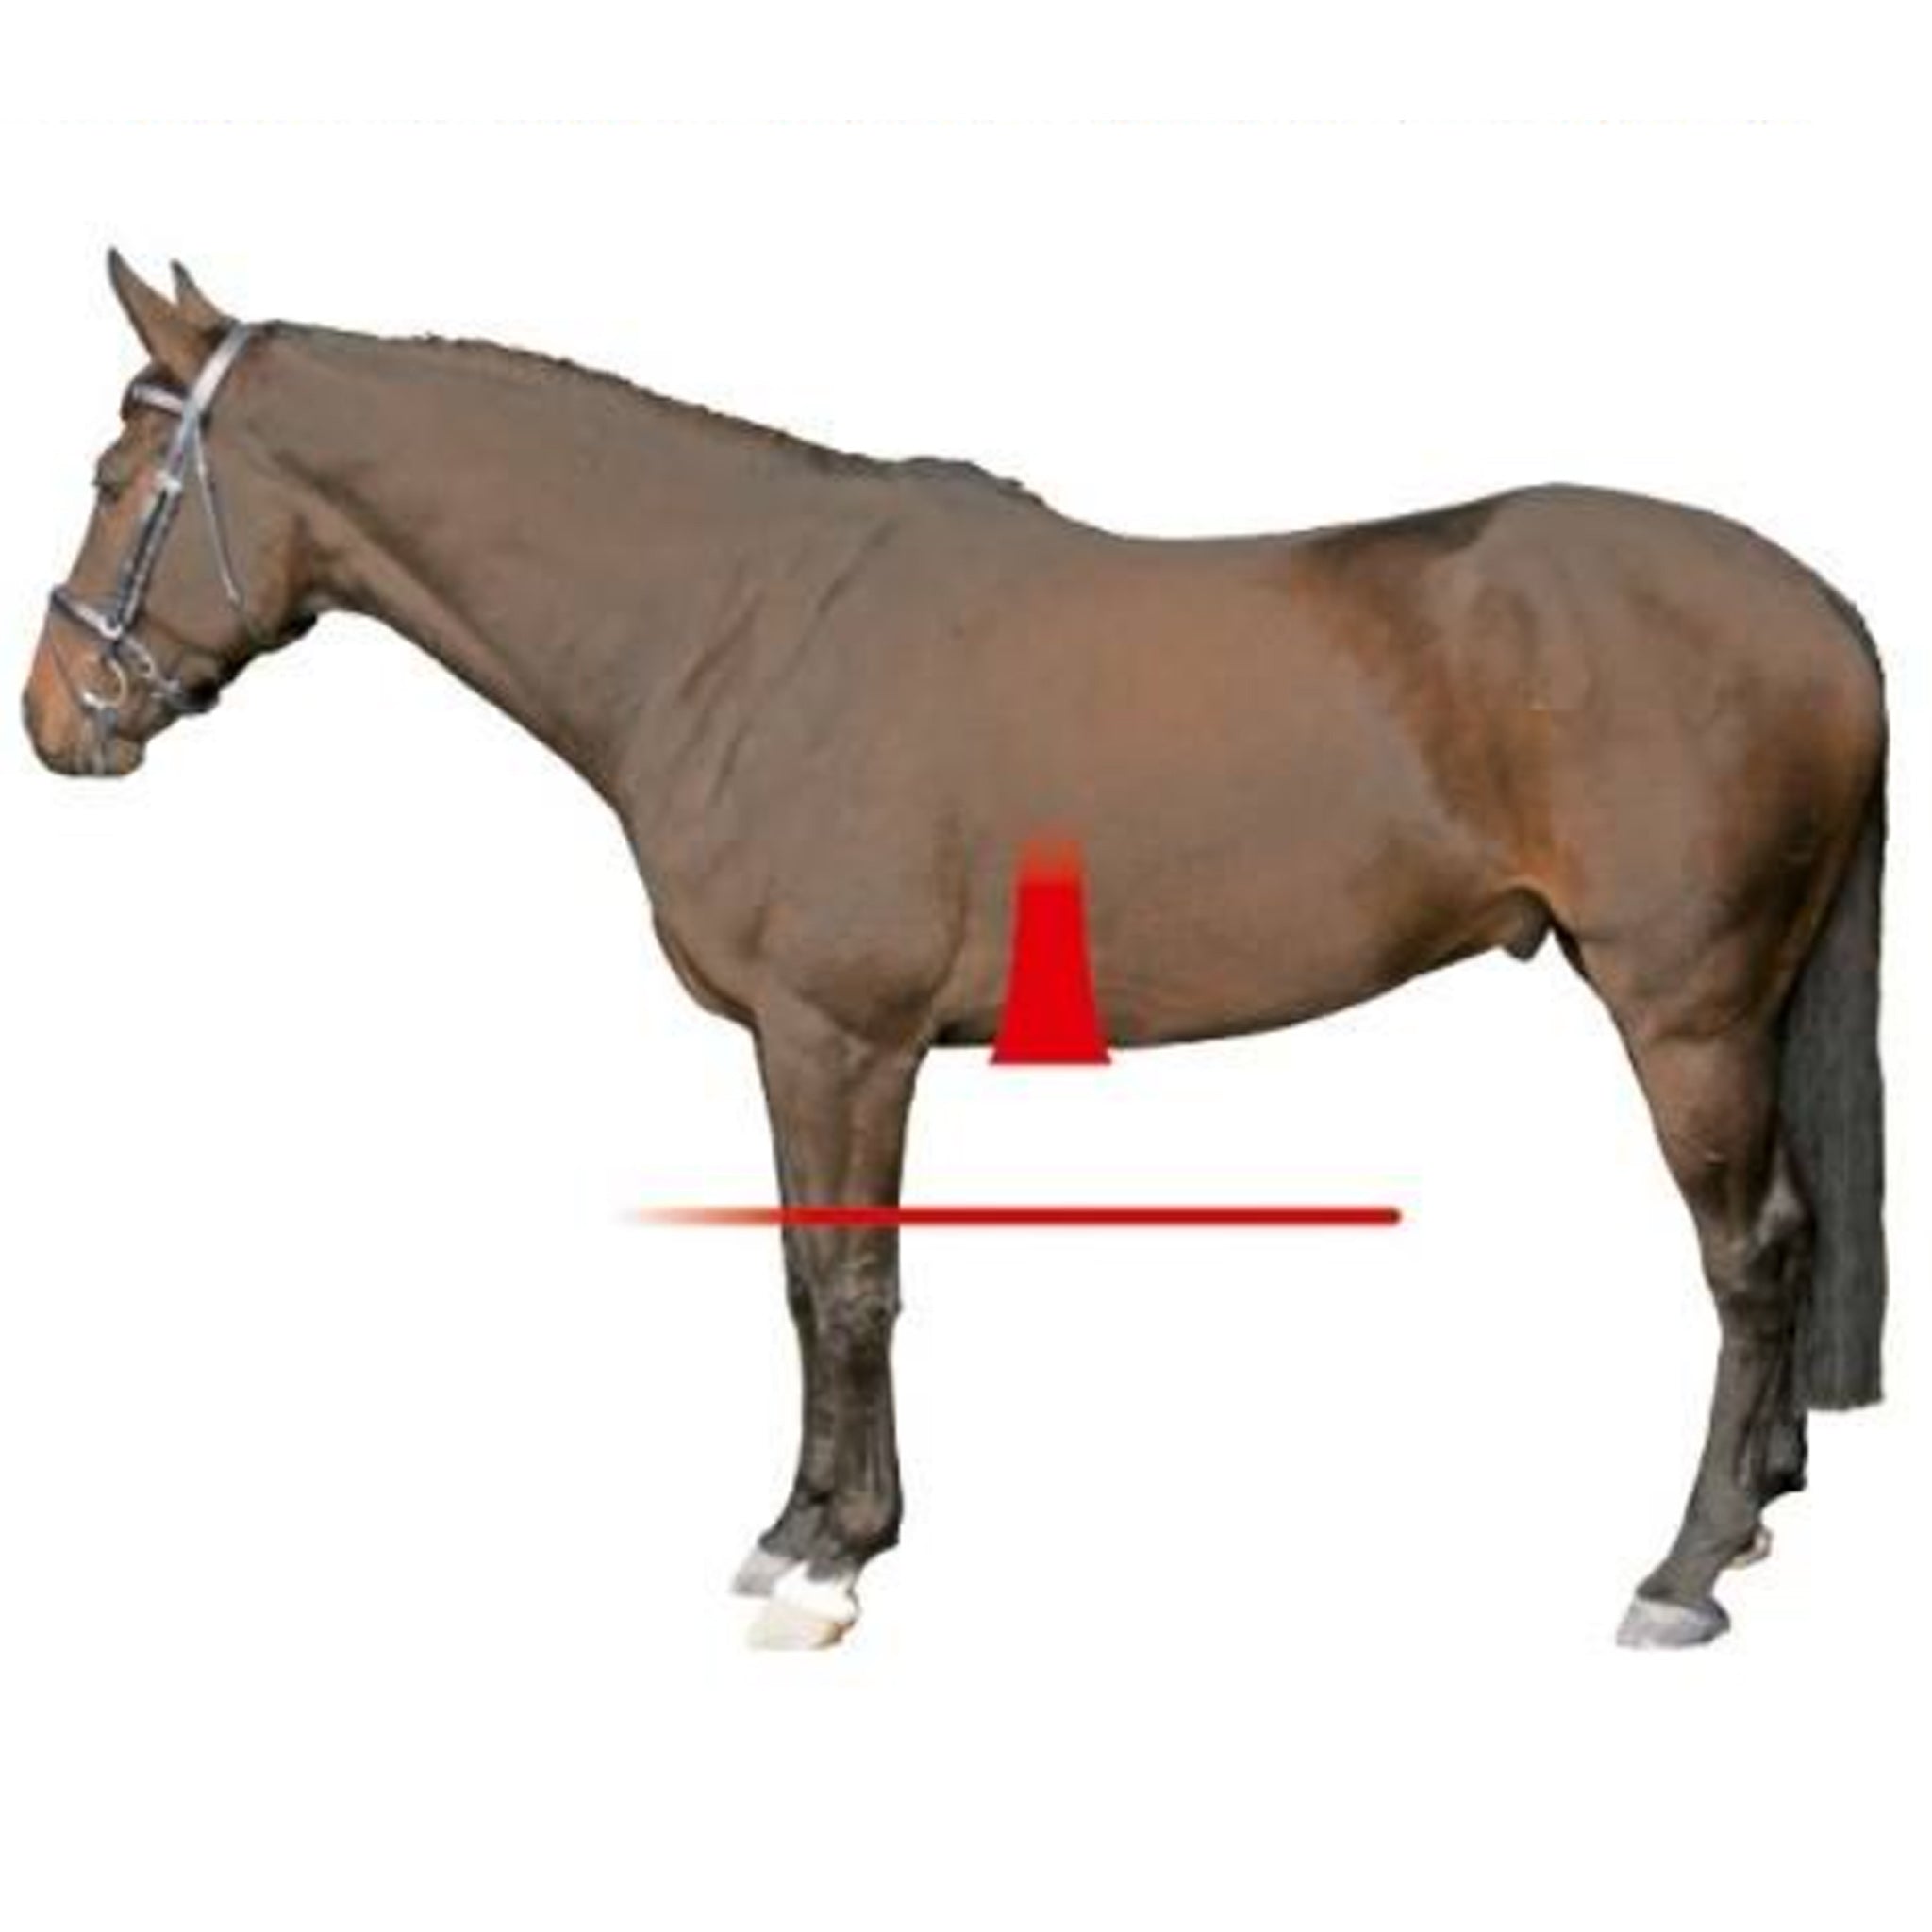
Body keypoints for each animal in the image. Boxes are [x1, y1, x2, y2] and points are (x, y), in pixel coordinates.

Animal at [23, 255, 1887, 1651]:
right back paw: (1761, 1509)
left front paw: (836, 1560)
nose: (56, 719)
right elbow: (802, 1277)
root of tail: (1827, 616)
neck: (739, 624)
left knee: (1751, 1252)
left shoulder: (837, 1035)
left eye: (116, 484)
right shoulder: (801, 1046)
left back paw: (1684, 1569)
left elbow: (851, 1283)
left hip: (1682, 1008)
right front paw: (796, 1526)